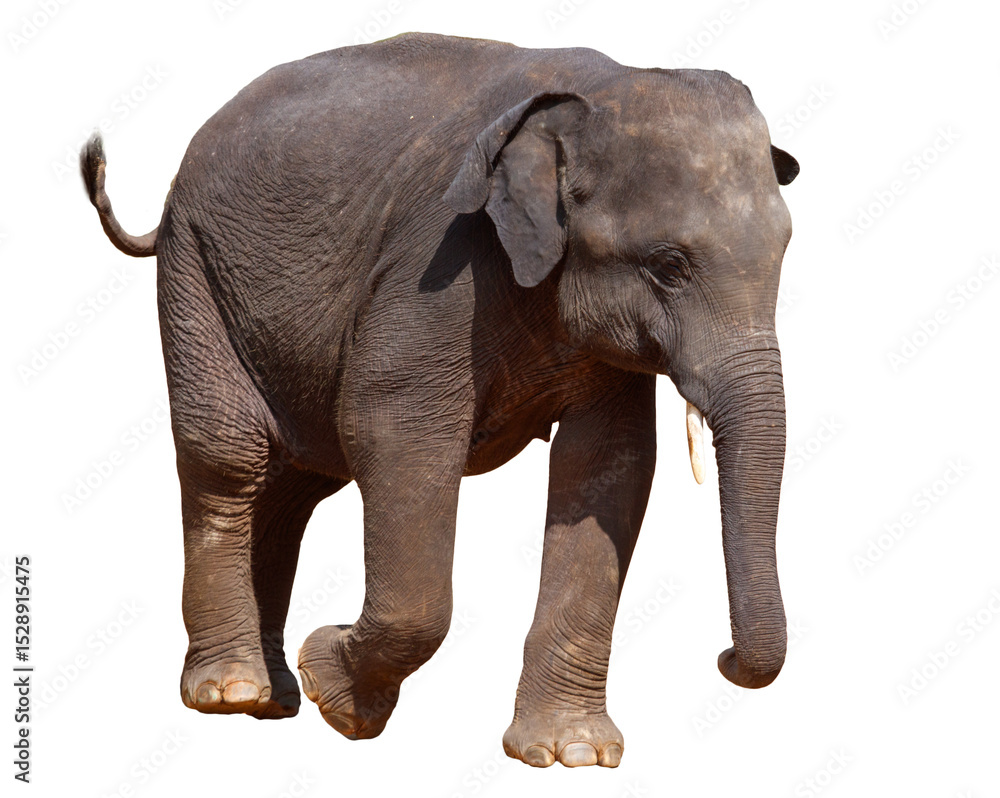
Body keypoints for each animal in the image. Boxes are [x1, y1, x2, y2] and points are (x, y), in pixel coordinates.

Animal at [81, 32, 798, 768]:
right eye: (667, 266)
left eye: (784, 254)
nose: (724, 657)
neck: (597, 89)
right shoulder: (440, 260)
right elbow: (394, 428)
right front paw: (340, 698)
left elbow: (607, 465)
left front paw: (572, 754)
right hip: (193, 267)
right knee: (229, 456)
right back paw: (231, 691)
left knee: (292, 485)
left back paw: (273, 700)